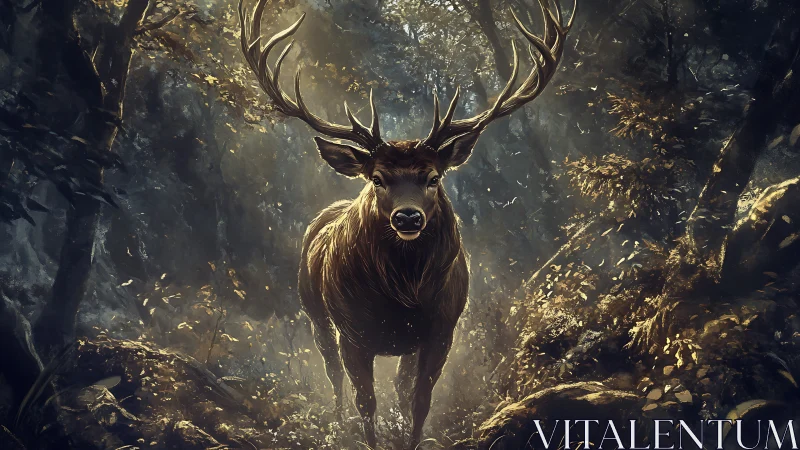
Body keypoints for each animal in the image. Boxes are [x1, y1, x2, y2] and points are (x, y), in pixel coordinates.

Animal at [238, 0, 575, 447]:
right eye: (378, 178)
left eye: (433, 177)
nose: (408, 216)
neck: (403, 294)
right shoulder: (353, 333)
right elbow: (366, 403)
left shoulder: (440, 329)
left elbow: (419, 402)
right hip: (315, 314)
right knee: (332, 375)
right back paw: (336, 422)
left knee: (397, 386)